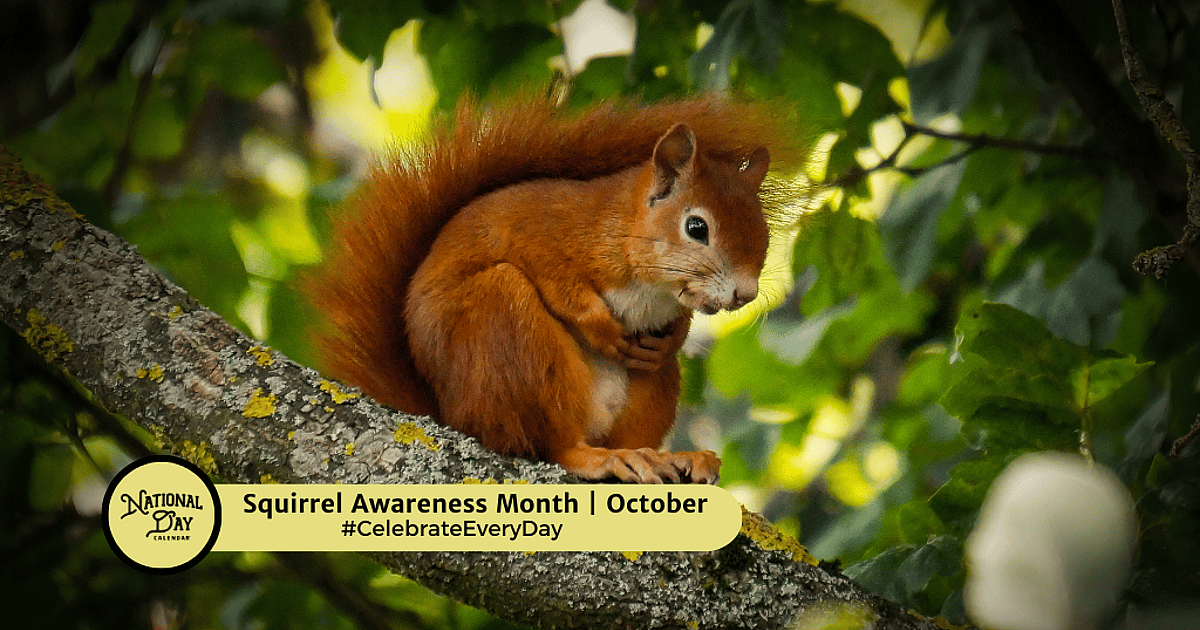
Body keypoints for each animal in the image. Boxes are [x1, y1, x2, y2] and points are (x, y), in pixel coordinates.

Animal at [310, 94, 797, 483]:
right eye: (697, 228)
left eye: (763, 232)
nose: (744, 294)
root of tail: (450, 415)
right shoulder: (536, 233)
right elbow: (560, 286)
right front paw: (601, 328)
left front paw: (674, 336)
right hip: (505, 332)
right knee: (551, 445)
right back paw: (596, 458)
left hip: (648, 389)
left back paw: (665, 455)